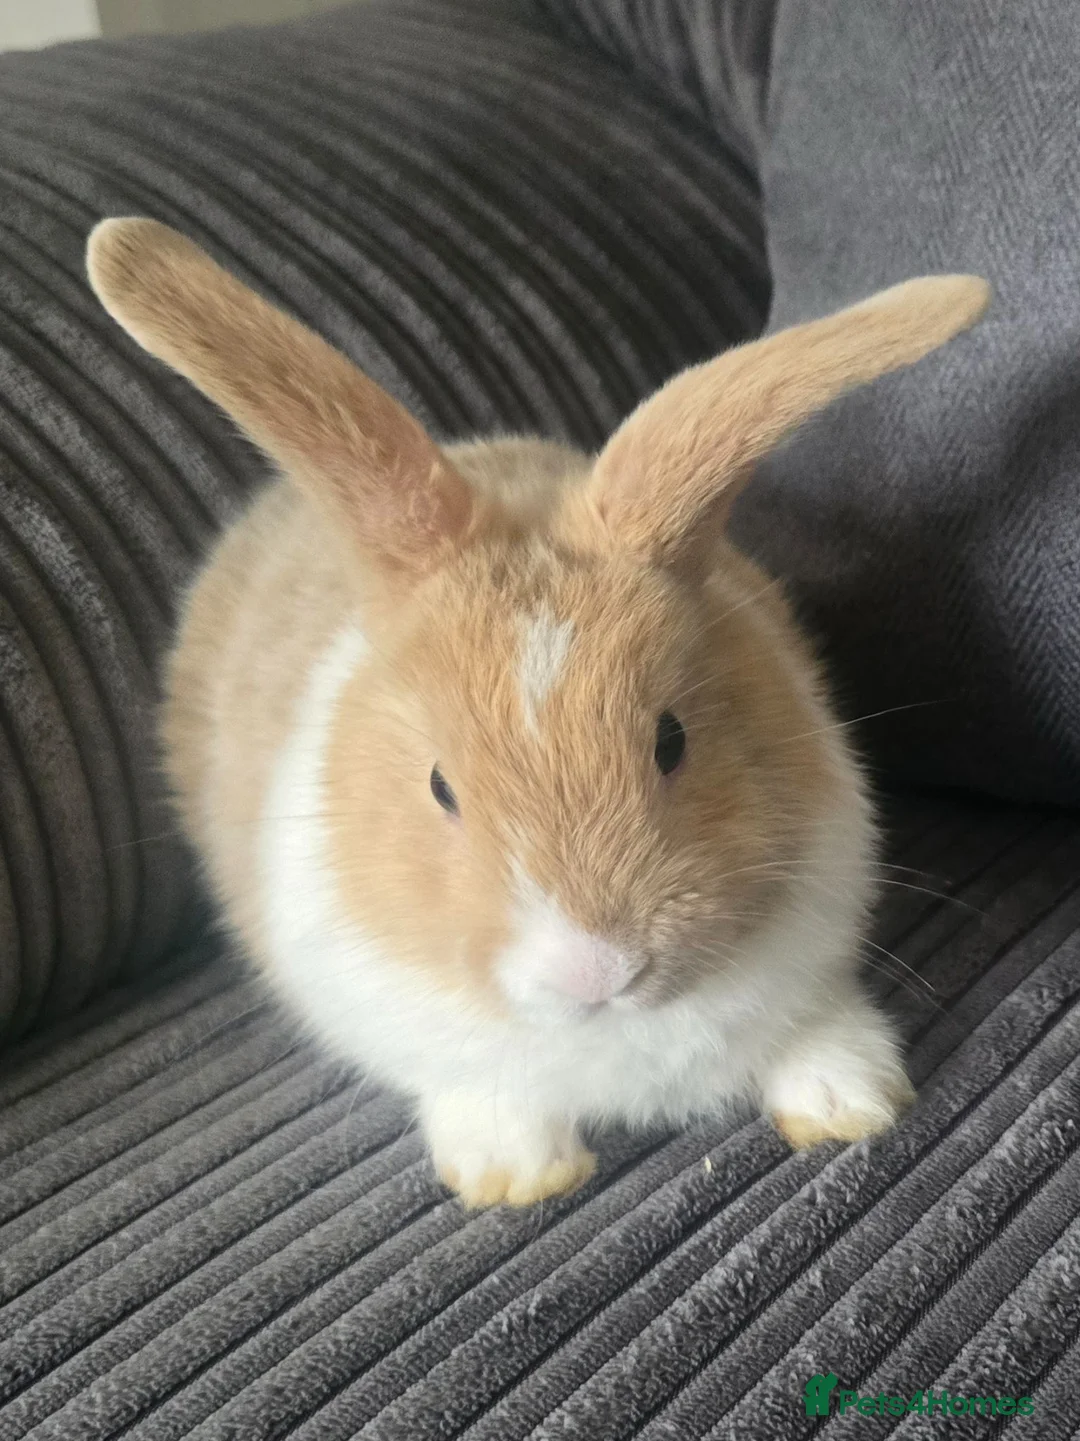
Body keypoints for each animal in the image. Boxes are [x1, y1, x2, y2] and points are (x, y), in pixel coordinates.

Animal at [86, 218, 989, 1208]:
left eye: (672, 740)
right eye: (439, 786)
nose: (595, 967)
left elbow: (820, 1036)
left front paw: (851, 1105)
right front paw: (518, 1178)